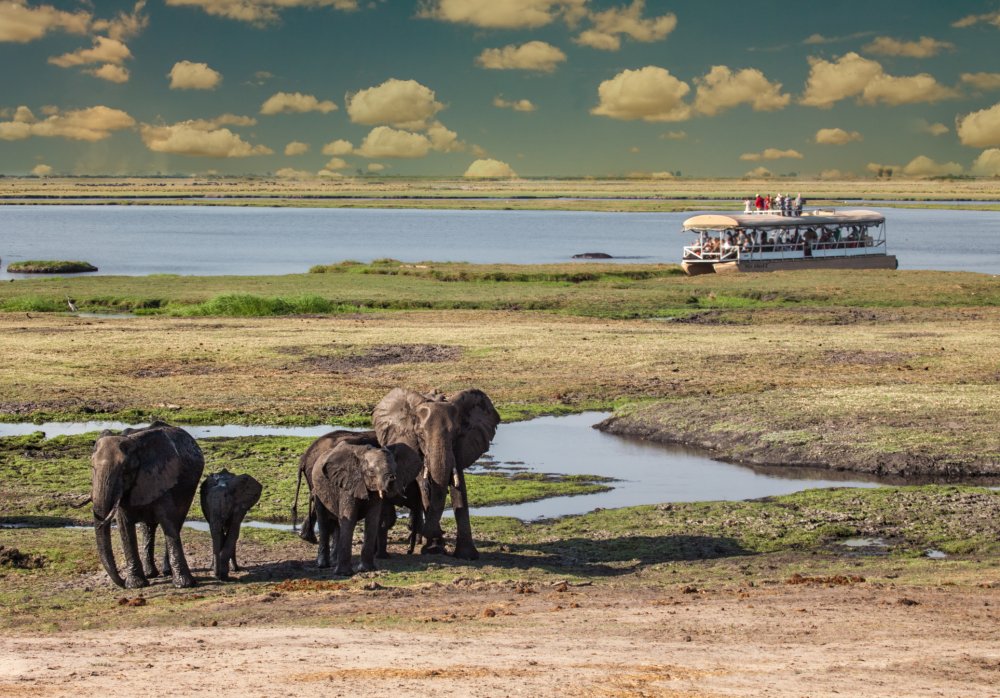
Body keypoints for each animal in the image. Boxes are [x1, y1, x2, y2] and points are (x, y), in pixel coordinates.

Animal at [91, 422, 204, 584]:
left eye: (125, 470)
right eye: (92, 468)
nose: (122, 582)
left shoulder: (161, 478)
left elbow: (168, 522)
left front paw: (184, 584)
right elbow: (124, 527)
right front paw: (135, 585)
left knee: (176, 521)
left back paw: (166, 572)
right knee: (148, 528)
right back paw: (150, 573)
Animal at [310, 438, 396, 572]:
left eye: (395, 468)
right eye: (371, 471)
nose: (392, 479)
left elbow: (372, 521)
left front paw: (366, 569)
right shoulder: (348, 484)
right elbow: (349, 519)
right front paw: (344, 573)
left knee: (338, 523)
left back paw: (334, 562)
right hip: (318, 491)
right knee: (323, 523)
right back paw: (323, 565)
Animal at [372, 388, 500, 556]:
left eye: (456, 433)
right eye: (420, 435)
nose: (441, 533)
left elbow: (459, 487)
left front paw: (467, 555)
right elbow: (425, 487)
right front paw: (433, 549)